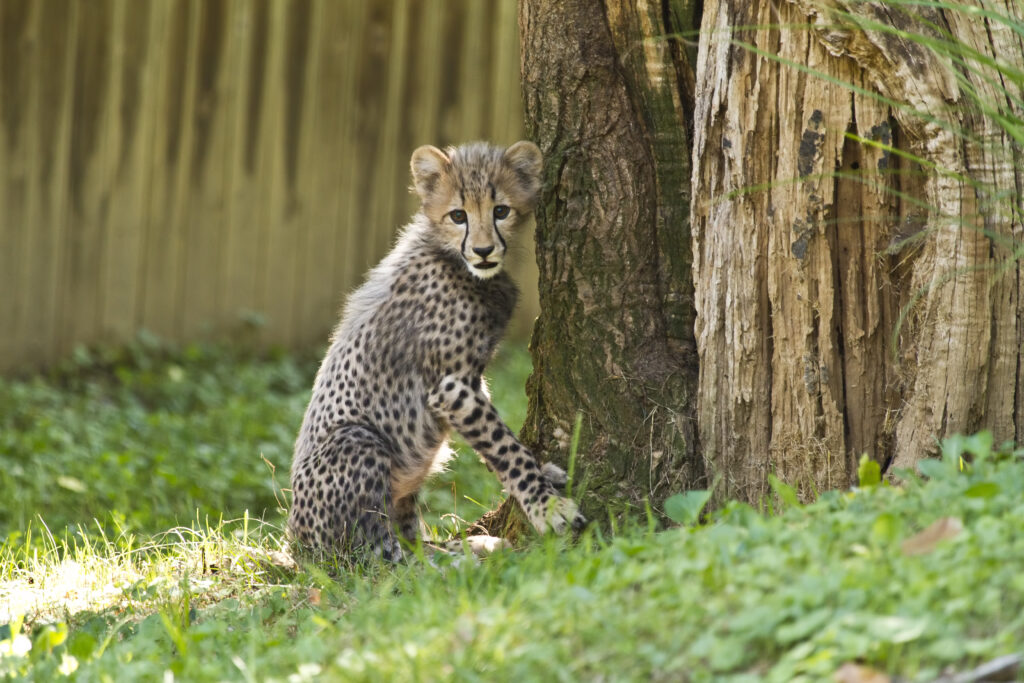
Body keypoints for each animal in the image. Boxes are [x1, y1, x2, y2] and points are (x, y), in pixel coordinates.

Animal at [287, 140, 585, 561]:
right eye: (458, 215)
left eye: (501, 210)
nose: (483, 251)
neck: (454, 259)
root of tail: (295, 542)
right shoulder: (451, 387)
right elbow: (503, 446)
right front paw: (546, 505)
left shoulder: (471, 381)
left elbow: (500, 435)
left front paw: (543, 471)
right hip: (358, 441)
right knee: (382, 558)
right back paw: (466, 558)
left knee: (409, 539)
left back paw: (469, 546)